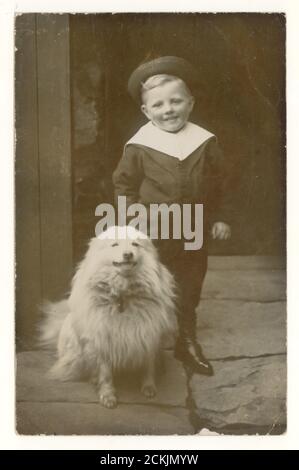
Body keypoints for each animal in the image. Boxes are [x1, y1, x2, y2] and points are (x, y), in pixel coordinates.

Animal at [38, 227, 177, 408]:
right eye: (115, 244)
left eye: (135, 244)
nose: (128, 254)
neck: (123, 295)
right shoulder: (101, 339)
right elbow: (105, 373)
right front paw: (107, 395)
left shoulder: (149, 336)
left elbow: (148, 366)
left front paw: (148, 386)